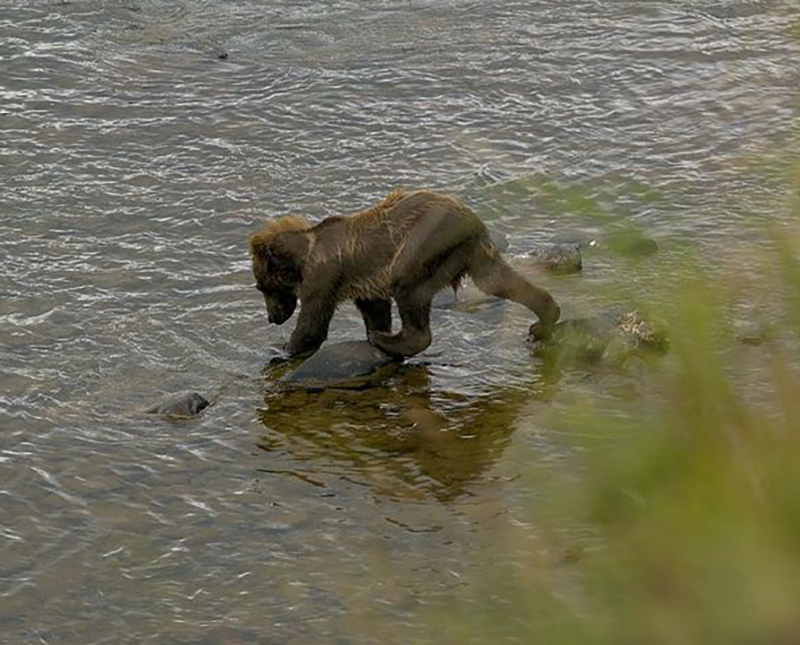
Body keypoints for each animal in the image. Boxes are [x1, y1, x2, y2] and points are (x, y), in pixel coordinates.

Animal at [249, 189, 560, 359]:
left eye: (262, 287)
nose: (272, 317)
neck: (304, 257)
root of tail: (472, 220)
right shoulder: (364, 284)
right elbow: (375, 309)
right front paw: (375, 328)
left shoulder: (323, 277)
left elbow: (313, 324)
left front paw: (282, 347)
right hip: (471, 253)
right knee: (496, 280)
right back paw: (545, 318)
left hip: (424, 241)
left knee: (408, 286)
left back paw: (391, 340)